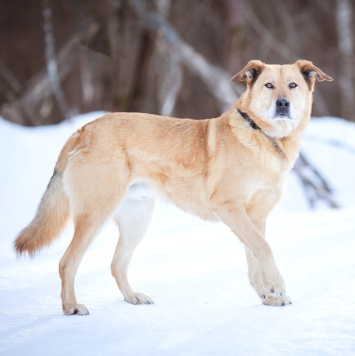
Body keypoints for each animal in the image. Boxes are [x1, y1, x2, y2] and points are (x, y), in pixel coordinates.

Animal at [13, 60, 334, 314]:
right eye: (269, 85)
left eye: (292, 86)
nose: (283, 104)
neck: (264, 137)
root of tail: (84, 129)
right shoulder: (230, 208)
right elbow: (264, 248)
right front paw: (278, 288)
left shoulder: (255, 217)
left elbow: (255, 256)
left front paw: (267, 296)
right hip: (96, 214)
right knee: (67, 262)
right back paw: (71, 306)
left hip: (137, 221)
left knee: (117, 264)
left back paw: (132, 297)